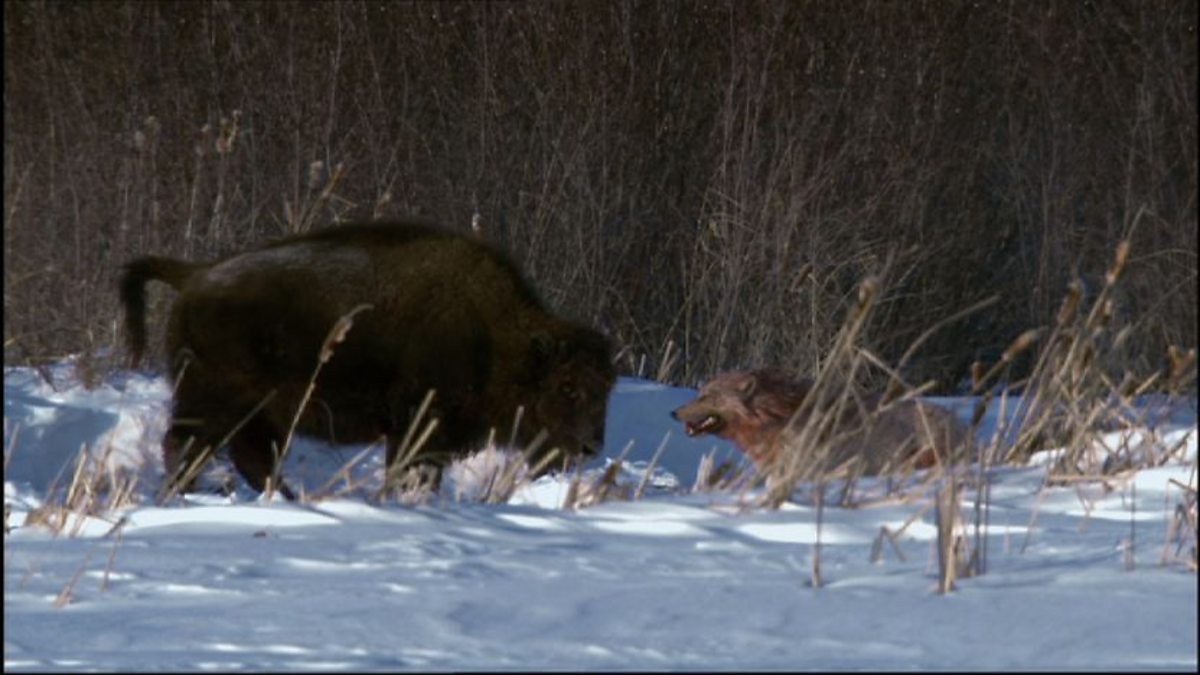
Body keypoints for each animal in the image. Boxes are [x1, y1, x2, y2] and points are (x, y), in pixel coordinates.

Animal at [121, 218, 614, 497]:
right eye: (567, 385)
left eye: (607, 388)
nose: (591, 445)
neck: (496, 336)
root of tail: (196, 276)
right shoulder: (419, 425)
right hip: (214, 404)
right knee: (189, 447)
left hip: (261, 414)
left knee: (250, 457)